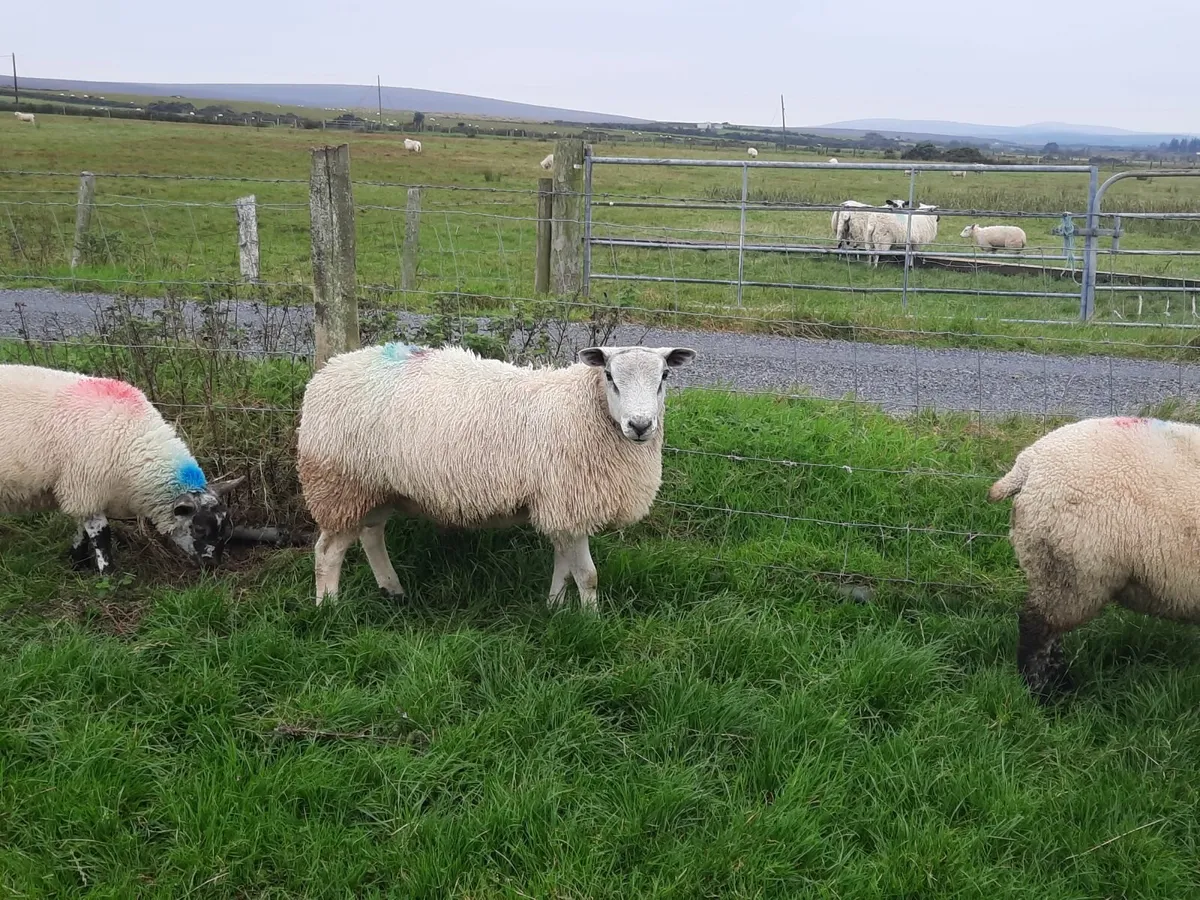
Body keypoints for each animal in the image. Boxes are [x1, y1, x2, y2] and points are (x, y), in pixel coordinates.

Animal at [0, 364, 242, 572]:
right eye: (199, 529)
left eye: (225, 526)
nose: (213, 565)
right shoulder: (85, 488)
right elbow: (101, 536)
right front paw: (107, 575)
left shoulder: (83, 494)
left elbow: (82, 532)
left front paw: (77, 563)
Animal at [296, 342, 697, 608]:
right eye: (610, 376)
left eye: (664, 376)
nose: (640, 425)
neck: (584, 408)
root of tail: (329, 369)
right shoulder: (568, 501)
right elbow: (587, 575)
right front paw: (591, 621)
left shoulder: (561, 505)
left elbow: (565, 567)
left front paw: (554, 607)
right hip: (339, 482)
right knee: (327, 552)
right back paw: (329, 609)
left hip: (376, 484)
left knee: (371, 534)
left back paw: (393, 590)